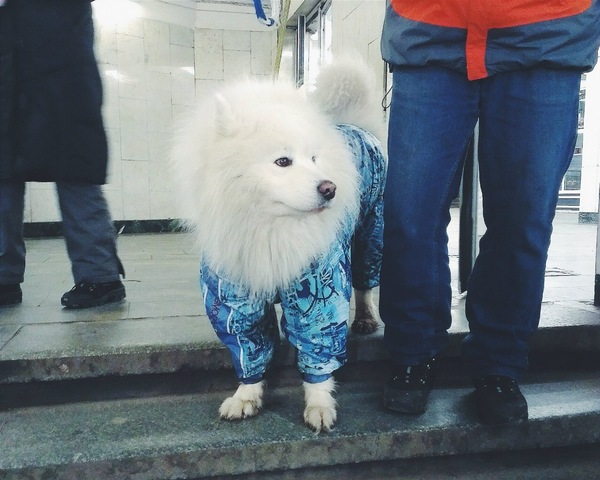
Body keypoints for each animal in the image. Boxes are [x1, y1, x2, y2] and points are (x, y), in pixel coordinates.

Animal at [171, 59, 386, 432]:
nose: (330, 188)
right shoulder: (234, 294)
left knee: (365, 282)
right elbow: (248, 345)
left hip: (370, 231)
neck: (271, 229)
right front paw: (246, 396)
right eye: (283, 161)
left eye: (313, 158)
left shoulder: (320, 290)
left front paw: (319, 406)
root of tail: (355, 124)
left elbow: (318, 351)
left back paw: (366, 318)